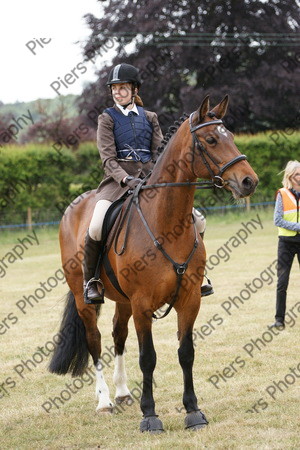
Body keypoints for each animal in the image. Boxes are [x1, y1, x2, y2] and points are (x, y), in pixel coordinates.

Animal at [49, 96, 258, 432]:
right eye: (211, 140)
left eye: (232, 136)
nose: (249, 181)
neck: (166, 223)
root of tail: (74, 207)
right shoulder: (143, 303)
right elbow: (148, 357)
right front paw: (150, 416)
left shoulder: (189, 299)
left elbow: (186, 353)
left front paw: (193, 411)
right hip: (85, 298)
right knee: (95, 341)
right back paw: (105, 401)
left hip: (123, 302)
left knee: (118, 336)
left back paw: (122, 394)